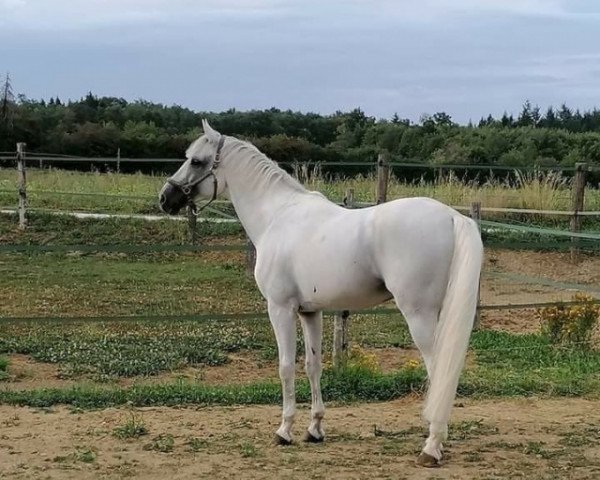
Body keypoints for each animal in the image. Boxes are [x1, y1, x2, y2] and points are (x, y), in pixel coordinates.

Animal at [159, 120, 482, 464]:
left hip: (419, 315)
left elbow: (286, 366)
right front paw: (314, 429)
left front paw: (284, 431)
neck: (277, 216)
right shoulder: (310, 312)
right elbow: (312, 366)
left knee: (439, 371)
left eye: (196, 161)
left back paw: (431, 447)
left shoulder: (280, 309)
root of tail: (452, 216)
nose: (165, 198)